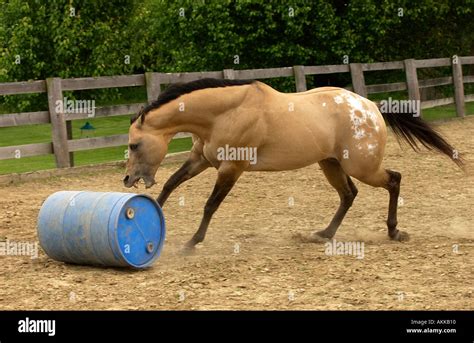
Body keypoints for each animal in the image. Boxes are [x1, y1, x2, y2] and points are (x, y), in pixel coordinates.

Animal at [122, 78, 462, 250]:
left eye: (133, 144)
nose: (127, 180)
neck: (225, 113)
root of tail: (371, 107)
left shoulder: (231, 169)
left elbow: (210, 205)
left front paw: (192, 242)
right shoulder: (201, 160)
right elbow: (170, 185)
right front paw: (152, 215)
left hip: (362, 167)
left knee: (394, 179)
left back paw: (394, 232)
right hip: (331, 164)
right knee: (349, 195)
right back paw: (324, 233)